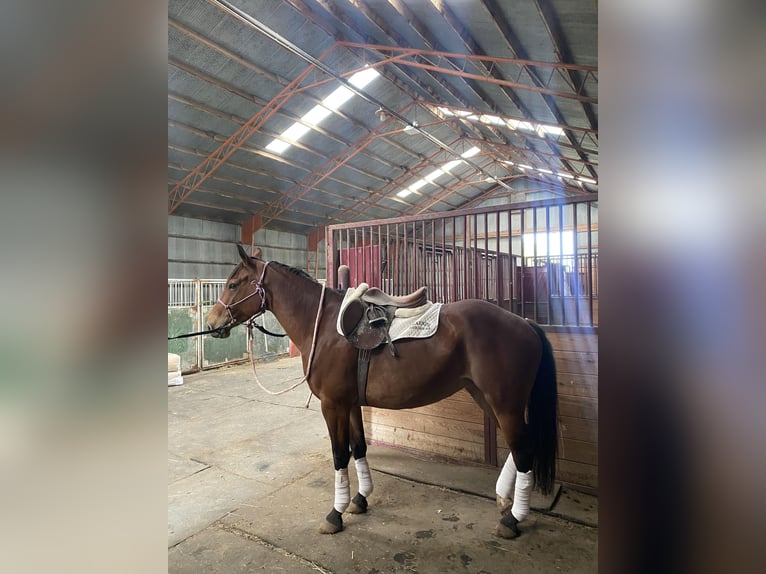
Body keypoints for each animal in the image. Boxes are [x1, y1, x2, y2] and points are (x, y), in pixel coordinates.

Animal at [207, 246, 560, 540]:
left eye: (234, 284)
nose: (212, 323)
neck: (323, 327)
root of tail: (525, 323)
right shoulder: (349, 404)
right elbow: (359, 447)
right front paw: (360, 499)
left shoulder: (332, 406)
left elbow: (340, 455)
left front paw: (335, 514)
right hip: (485, 398)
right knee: (520, 446)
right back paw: (503, 498)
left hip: (505, 404)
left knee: (524, 449)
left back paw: (512, 519)